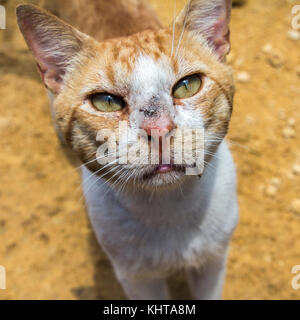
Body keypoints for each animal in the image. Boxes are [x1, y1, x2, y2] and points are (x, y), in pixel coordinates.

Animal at [16, 0, 238, 300]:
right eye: (105, 101)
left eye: (187, 85)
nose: (158, 129)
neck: (168, 209)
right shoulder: (136, 277)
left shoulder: (213, 260)